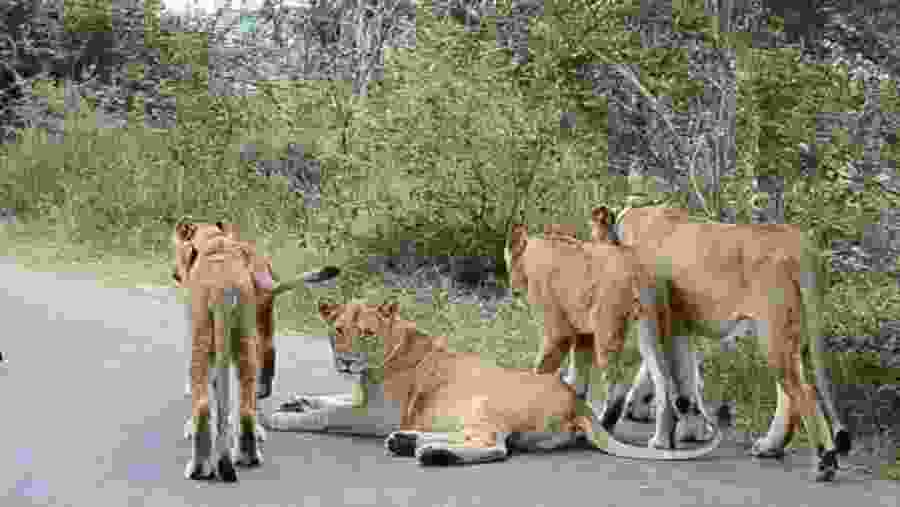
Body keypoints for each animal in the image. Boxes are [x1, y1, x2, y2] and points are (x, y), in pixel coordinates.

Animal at [173, 220, 339, 481]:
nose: (175, 274)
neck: (213, 242)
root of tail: (223, 287)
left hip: (203, 339)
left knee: (202, 404)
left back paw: (199, 468)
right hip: (249, 335)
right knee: (250, 398)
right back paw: (248, 455)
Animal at [265, 301, 722, 465]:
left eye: (366, 333)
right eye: (338, 330)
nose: (345, 359)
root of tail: (578, 403)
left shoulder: (375, 415)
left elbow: (328, 415)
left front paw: (281, 418)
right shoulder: (361, 398)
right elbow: (330, 398)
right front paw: (295, 401)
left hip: (480, 401)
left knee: (495, 446)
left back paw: (431, 454)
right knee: (480, 439)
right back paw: (409, 443)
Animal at [503, 223, 724, 457]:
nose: (513, 289)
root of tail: (637, 265)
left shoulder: (558, 333)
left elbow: (542, 371)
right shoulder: (583, 335)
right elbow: (577, 381)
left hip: (607, 330)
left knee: (618, 387)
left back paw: (604, 428)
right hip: (650, 328)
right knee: (663, 381)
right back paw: (661, 442)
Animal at [588, 205, 851, 482]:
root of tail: (797, 242)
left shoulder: (653, 320)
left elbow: (663, 375)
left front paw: (659, 438)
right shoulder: (679, 324)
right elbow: (683, 378)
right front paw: (689, 429)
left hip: (773, 333)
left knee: (805, 392)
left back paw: (824, 461)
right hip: (787, 333)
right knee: (789, 392)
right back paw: (771, 446)